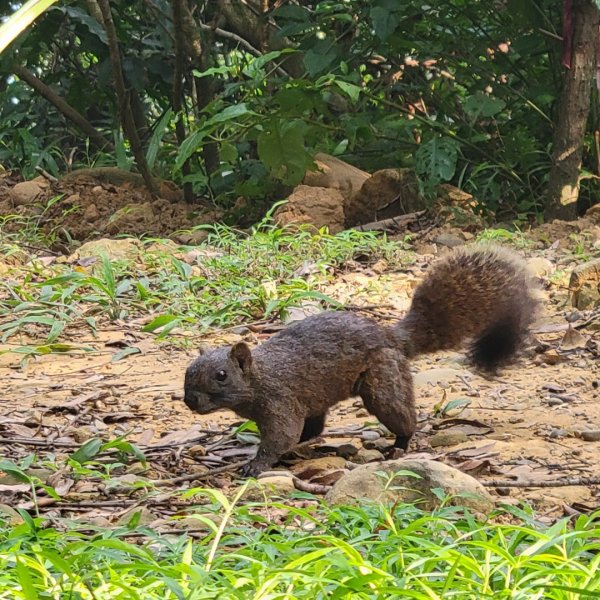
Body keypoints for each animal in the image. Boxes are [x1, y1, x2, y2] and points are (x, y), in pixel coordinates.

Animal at [182, 245, 540, 478]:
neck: (259, 378)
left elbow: (281, 437)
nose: (189, 401)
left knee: (401, 417)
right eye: (187, 374)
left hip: (382, 382)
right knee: (316, 427)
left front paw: (254, 464)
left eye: (222, 375)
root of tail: (393, 337)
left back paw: (399, 444)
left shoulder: (279, 401)